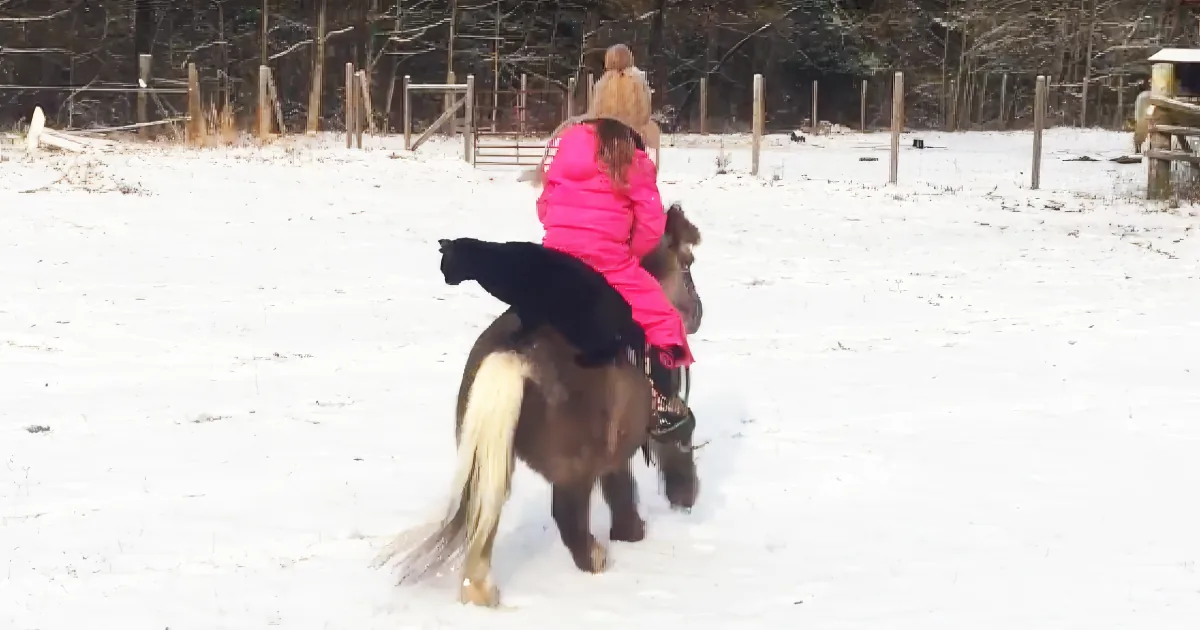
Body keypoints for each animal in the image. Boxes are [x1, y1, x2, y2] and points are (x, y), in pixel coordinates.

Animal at [375, 203, 704, 608]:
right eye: (687, 264)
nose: (697, 313)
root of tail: (514, 355)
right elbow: (654, 459)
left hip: (491, 459)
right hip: (571, 472)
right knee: (568, 518)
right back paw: (596, 560)